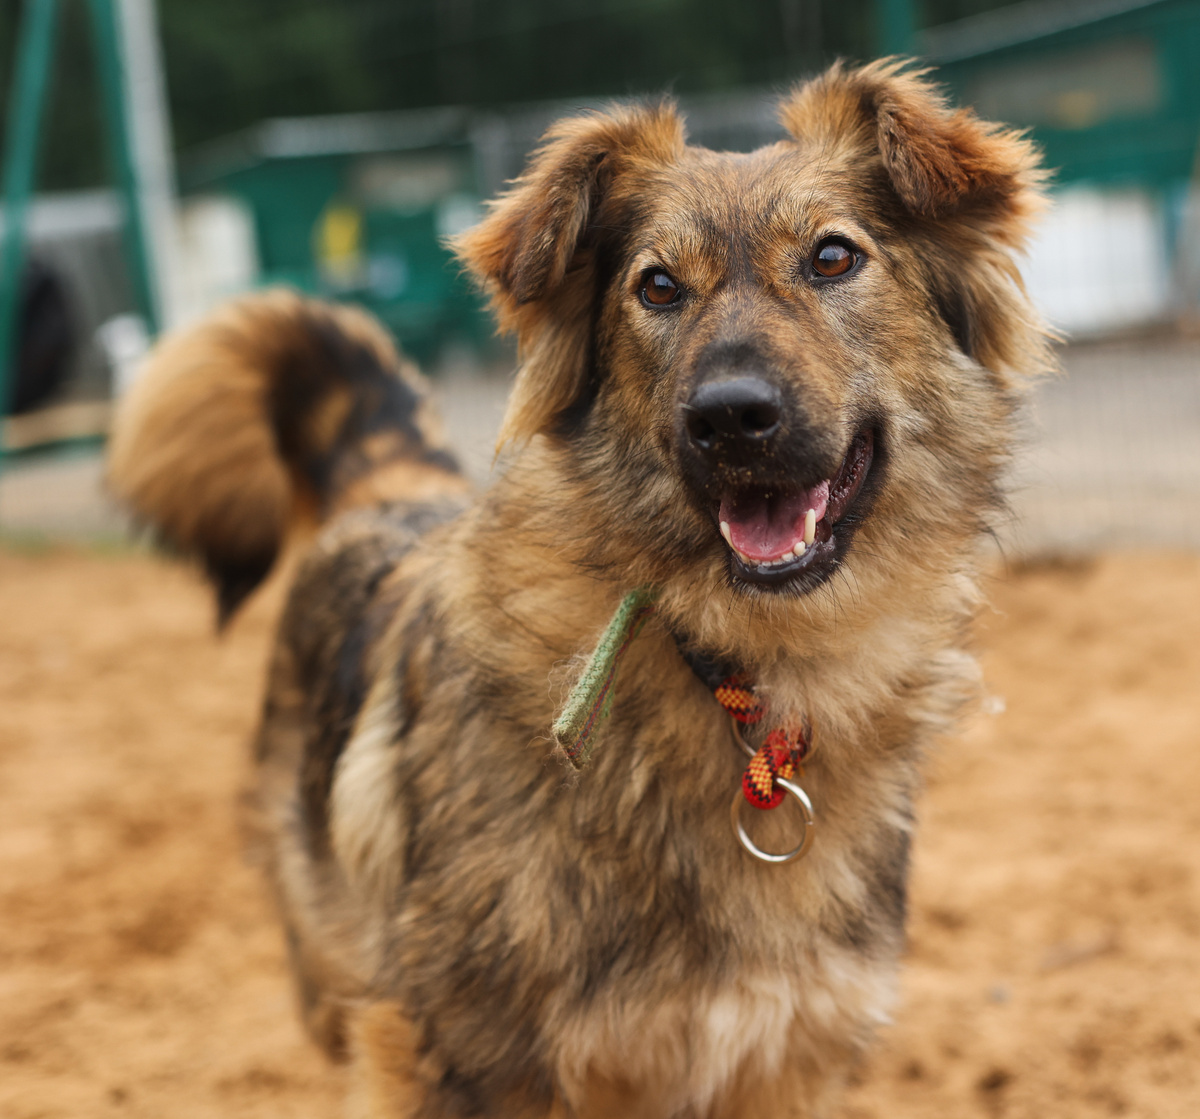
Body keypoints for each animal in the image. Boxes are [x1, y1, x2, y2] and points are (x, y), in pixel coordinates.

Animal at [112, 61, 1051, 1119]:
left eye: (833, 258)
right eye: (657, 286)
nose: (730, 418)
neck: (740, 672)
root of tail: (398, 492)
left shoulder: (786, 1056)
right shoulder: (457, 1057)